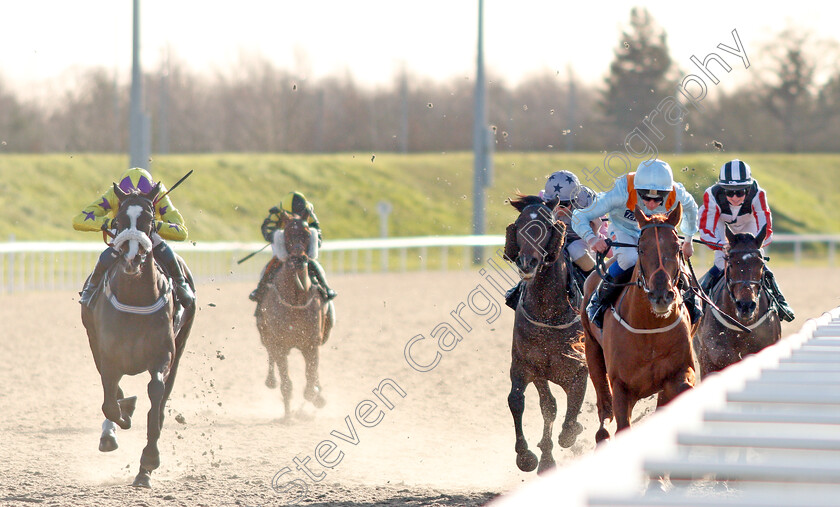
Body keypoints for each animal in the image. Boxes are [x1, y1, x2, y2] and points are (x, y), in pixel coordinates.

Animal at [80, 183, 195, 488]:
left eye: (149, 220)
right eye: (119, 220)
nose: (131, 258)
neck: (135, 297)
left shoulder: (163, 355)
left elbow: (155, 398)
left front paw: (148, 464)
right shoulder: (108, 354)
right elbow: (110, 404)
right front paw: (122, 418)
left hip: (181, 345)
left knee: (162, 400)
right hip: (93, 342)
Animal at [256, 211, 334, 420]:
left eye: (307, 233)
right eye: (288, 233)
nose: (298, 259)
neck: (296, 298)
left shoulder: (312, 343)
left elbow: (311, 378)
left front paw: (317, 397)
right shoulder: (280, 344)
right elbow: (286, 384)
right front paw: (288, 417)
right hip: (266, 336)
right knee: (271, 357)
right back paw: (272, 382)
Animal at [502, 196, 588, 474]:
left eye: (548, 225)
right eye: (519, 224)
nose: (526, 263)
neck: (548, 312)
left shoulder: (578, 367)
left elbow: (572, 410)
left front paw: (571, 432)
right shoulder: (528, 364)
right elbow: (531, 403)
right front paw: (530, 456)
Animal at [584, 205, 696, 444]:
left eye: (676, 248)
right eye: (642, 249)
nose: (661, 296)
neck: (649, 328)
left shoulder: (679, 370)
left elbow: (682, 388)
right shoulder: (621, 385)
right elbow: (621, 423)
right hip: (592, 351)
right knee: (604, 408)